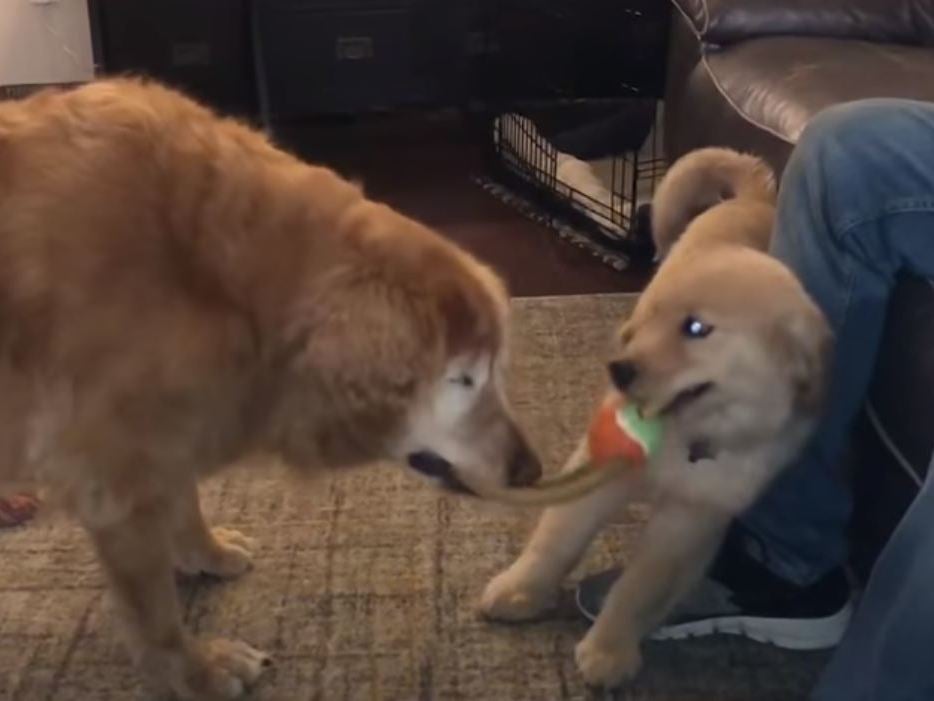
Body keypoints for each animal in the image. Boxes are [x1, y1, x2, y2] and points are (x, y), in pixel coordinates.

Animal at [0, 79, 540, 696]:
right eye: (462, 379)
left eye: (494, 370)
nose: (531, 472)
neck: (223, 282)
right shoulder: (118, 480)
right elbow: (155, 611)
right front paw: (193, 671)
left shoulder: (170, 431)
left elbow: (184, 496)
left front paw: (205, 551)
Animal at [482, 148, 832, 688]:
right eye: (652, 323)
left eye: (696, 328)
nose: (619, 370)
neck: (688, 435)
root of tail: (757, 197)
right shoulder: (600, 471)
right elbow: (556, 538)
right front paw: (520, 591)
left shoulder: (692, 517)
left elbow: (640, 588)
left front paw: (608, 649)